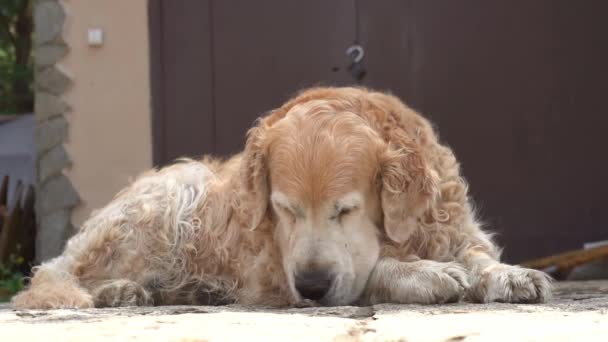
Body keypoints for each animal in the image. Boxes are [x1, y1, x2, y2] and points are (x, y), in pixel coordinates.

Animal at [11, 87, 552, 308]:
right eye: (283, 209)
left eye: (346, 209)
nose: (311, 288)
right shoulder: (273, 268)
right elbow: (372, 269)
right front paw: (425, 274)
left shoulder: (453, 223)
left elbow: (478, 255)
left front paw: (510, 275)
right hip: (176, 190)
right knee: (56, 275)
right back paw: (118, 291)